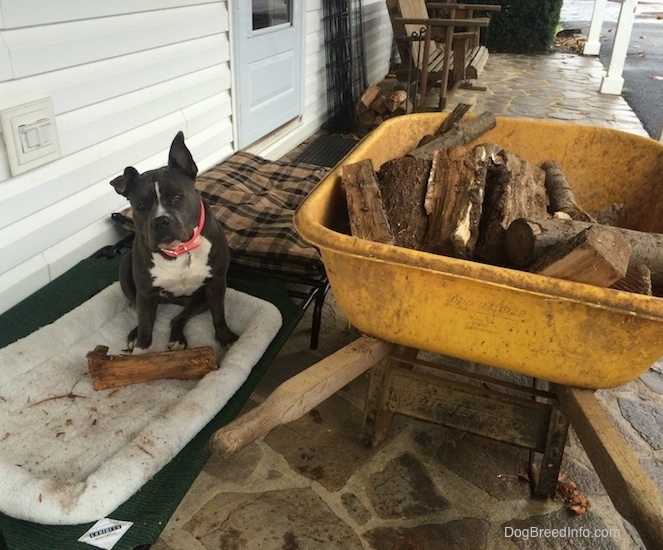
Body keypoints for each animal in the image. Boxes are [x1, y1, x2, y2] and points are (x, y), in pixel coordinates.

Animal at [111, 135, 239, 354]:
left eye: (177, 196)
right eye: (141, 206)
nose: (160, 221)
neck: (180, 250)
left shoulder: (216, 283)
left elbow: (219, 316)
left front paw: (226, 338)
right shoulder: (145, 294)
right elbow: (145, 327)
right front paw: (141, 352)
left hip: (201, 298)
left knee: (178, 318)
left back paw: (177, 338)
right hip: (126, 268)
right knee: (143, 315)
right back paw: (135, 335)